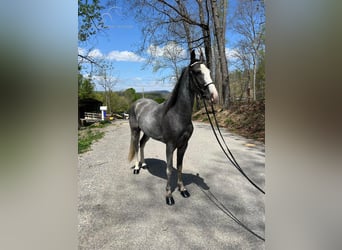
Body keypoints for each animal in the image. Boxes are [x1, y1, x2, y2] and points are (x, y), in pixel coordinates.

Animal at [127, 49, 218, 205]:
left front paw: (183, 190)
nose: (214, 95)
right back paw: (137, 168)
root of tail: (138, 103)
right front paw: (169, 196)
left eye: (209, 71)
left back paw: (144, 165)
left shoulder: (183, 145)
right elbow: (169, 169)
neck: (177, 113)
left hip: (147, 133)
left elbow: (180, 167)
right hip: (135, 130)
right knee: (136, 146)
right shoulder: (170, 145)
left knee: (142, 144)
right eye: (197, 72)